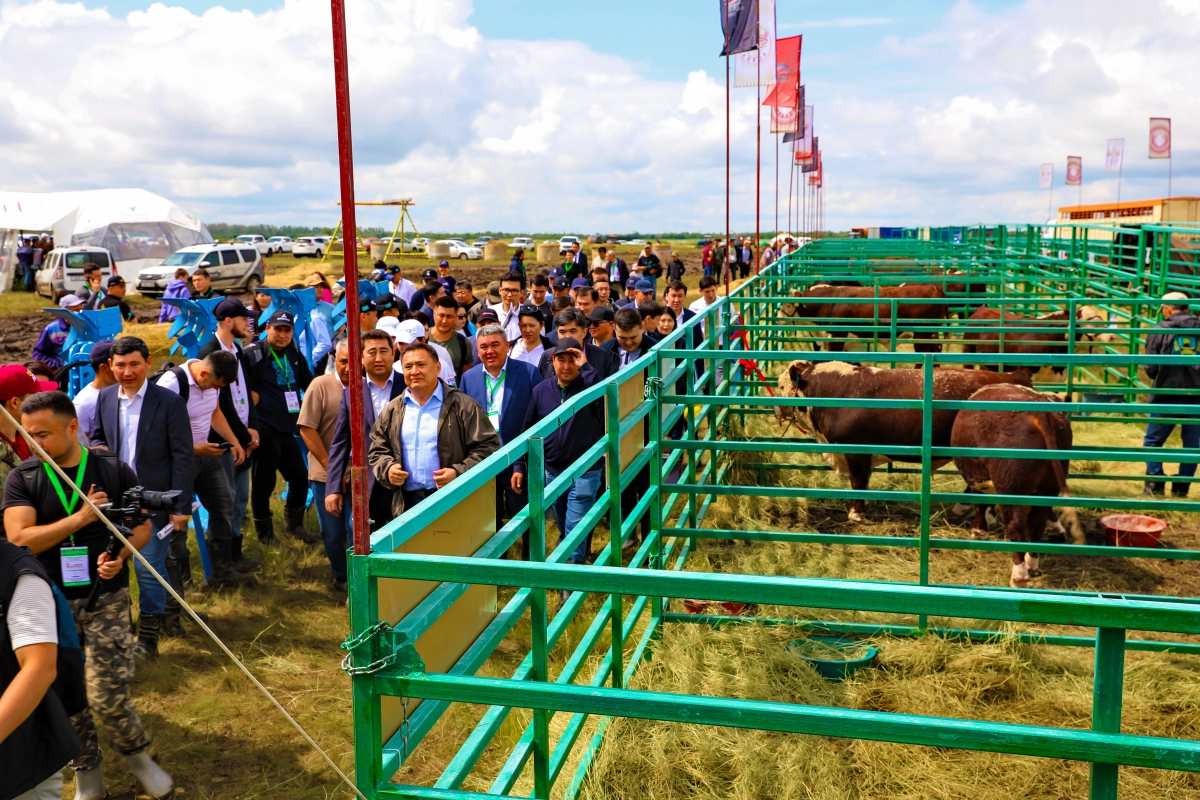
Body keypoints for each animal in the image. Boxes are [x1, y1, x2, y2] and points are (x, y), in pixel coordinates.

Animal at [777, 359, 1032, 522]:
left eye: (780, 386)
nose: (776, 408)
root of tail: (1013, 376)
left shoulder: (856, 452)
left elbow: (859, 483)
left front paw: (856, 514)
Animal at [950, 383, 1084, 592]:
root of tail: (1040, 411)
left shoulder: (977, 479)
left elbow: (980, 504)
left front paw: (979, 531)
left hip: (1010, 487)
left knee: (1016, 527)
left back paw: (1019, 576)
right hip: (1047, 488)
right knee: (1036, 524)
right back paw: (1032, 564)